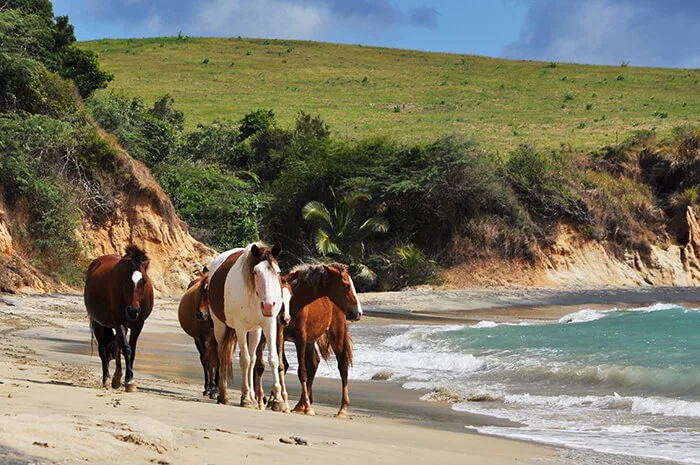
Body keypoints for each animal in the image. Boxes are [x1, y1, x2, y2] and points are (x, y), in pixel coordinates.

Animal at [84, 245, 154, 390]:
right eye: (125, 279)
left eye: (144, 281)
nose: (133, 310)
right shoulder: (119, 322)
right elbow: (126, 348)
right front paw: (129, 380)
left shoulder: (139, 324)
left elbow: (131, 349)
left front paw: (128, 378)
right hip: (99, 323)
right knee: (103, 349)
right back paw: (106, 379)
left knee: (116, 347)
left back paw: (116, 378)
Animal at [176, 268, 217, 398]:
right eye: (201, 291)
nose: (200, 314)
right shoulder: (203, 338)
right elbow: (209, 362)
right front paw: (211, 388)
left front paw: (216, 390)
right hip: (197, 340)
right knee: (204, 359)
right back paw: (207, 387)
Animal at [204, 243, 286, 410]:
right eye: (256, 272)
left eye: (278, 272)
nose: (268, 306)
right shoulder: (240, 328)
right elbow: (245, 360)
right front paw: (246, 398)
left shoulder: (269, 325)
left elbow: (272, 359)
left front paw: (277, 400)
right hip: (220, 326)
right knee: (223, 355)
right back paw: (224, 395)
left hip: (255, 331)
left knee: (253, 358)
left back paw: (253, 396)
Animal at [254, 260, 360, 416]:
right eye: (347, 286)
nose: (358, 312)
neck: (296, 301)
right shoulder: (279, 334)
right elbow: (279, 365)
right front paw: (274, 400)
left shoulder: (300, 337)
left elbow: (301, 371)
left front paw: (303, 406)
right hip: (310, 340)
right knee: (314, 362)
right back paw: (301, 404)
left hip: (336, 333)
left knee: (342, 365)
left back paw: (341, 408)